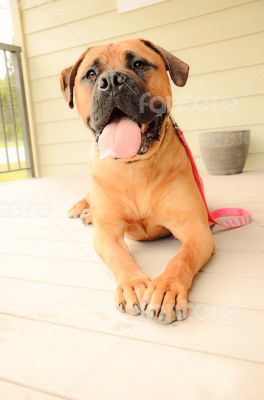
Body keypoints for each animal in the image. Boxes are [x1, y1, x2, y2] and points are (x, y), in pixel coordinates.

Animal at [60, 38, 216, 324]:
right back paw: (84, 210)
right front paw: (132, 285)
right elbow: (119, 255)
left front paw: (166, 289)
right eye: (91, 74)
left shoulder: (196, 230)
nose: (111, 80)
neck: (135, 168)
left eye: (139, 64)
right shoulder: (107, 233)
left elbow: (181, 258)